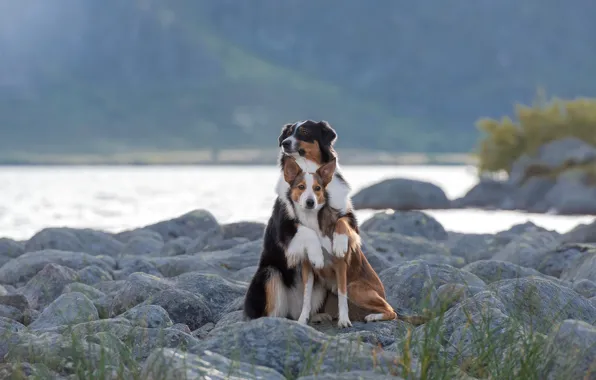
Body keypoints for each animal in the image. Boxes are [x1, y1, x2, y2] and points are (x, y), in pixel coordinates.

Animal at [243, 120, 358, 320]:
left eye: (304, 132)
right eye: (287, 133)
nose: (285, 143)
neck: (308, 170)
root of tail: (294, 310)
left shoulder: (349, 215)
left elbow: (341, 223)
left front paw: (340, 244)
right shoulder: (283, 226)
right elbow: (308, 231)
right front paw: (317, 255)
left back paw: (317, 316)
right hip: (269, 273)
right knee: (272, 311)